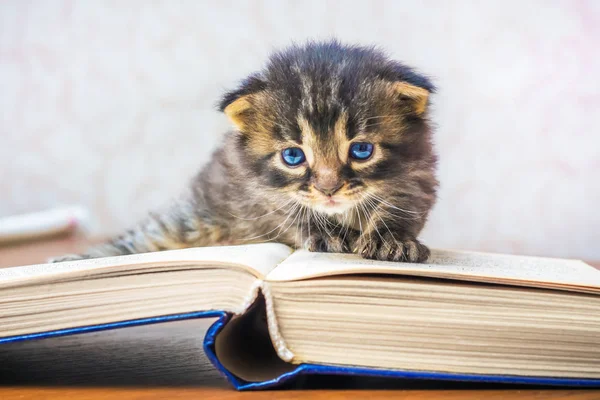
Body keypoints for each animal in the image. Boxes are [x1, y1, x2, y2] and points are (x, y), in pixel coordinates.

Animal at [51, 40, 438, 264]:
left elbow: (400, 205)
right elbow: (290, 210)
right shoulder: (258, 194)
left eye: (361, 150)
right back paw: (74, 261)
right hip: (196, 218)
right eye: (293, 157)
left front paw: (392, 238)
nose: (328, 190)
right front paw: (324, 232)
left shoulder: (418, 177)